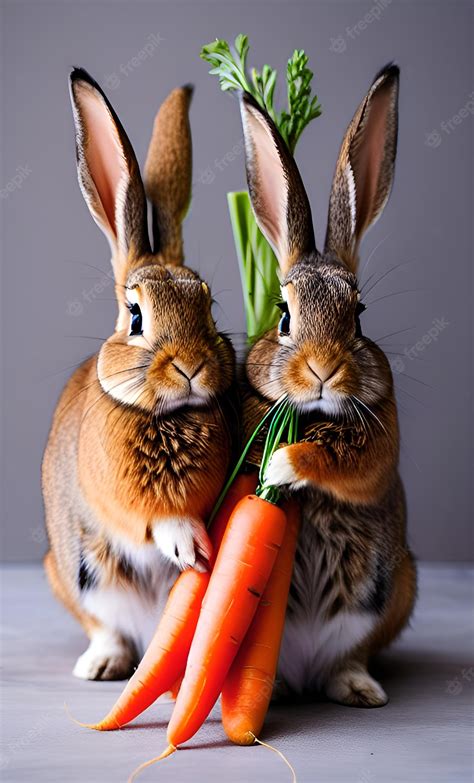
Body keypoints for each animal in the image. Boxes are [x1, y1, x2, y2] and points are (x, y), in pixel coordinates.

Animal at [42, 69, 237, 680]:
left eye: (210, 306)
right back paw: (101, 665)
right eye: (135, 317)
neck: (168, 415)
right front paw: (189, 546)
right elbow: (156, 519)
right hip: (73, 575)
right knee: (107, 628)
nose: (191, 366)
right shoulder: (125, 503)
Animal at [239, 64, 416, 708]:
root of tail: (304, 670)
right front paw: (268, 467)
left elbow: (343, 464)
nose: (322, 370)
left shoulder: (381, 439)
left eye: (358, 315)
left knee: (350, 657)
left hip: (393, 594)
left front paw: (284, 464)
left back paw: (361, 690)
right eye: (283, 316)